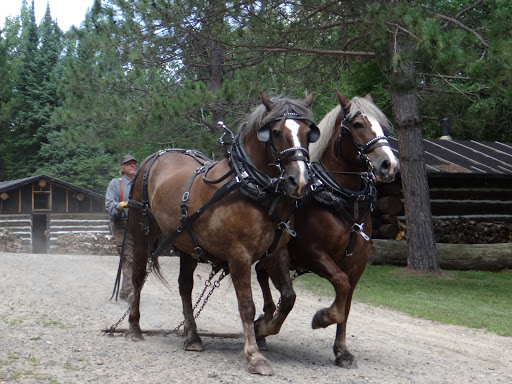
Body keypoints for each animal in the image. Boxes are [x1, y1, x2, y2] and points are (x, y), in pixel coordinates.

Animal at [126, 91, 318, 376]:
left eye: (308, 132)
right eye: (275, 132)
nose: (300, 181)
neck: (252, 187)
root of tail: (159, 155)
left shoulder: (276, 253)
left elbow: (288, 298)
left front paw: (263, 327)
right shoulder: (239, 255)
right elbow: (247, 305)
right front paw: (254, 355)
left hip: (187, 243)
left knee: (185, 286)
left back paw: (192, 337)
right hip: (141, 230)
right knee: (138, 276)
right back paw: (134, 327)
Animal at [256, 91, 400, 368]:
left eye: (383, 126)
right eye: (358, 125)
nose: (389, 165)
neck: (340, 197)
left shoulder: (357, 263)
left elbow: (347, 304)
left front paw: (341, 351)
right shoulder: (312, 253)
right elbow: (341, 285)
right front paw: (322, 317)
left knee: (261, 273)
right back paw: (265, 322)